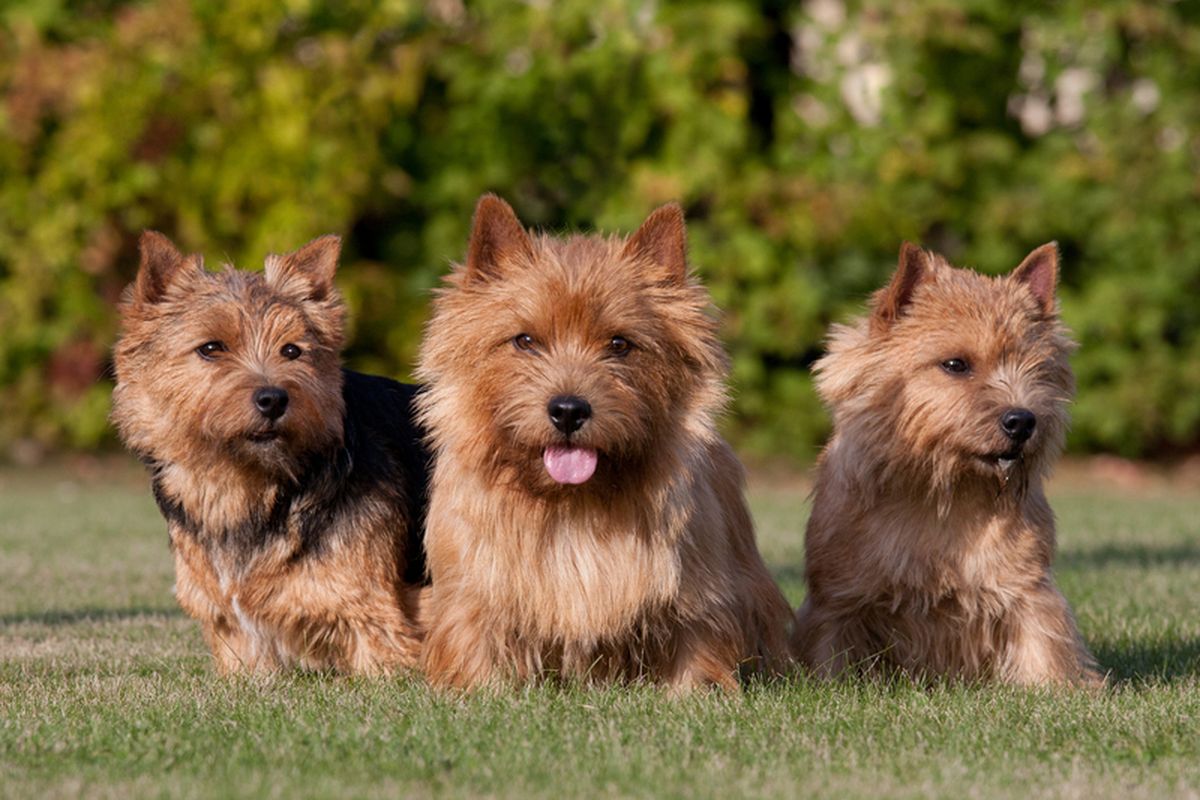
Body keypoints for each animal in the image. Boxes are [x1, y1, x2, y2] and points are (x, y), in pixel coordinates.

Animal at [113, 231, 432, 676]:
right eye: (211, 348)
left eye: (292, 351)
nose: (273, 399)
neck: (245, 487)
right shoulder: (234, 630)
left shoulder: (378, 616)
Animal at [415, 195, 796, 695]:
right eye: (525, 340)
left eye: (620, 344)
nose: (568, 410)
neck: (572, 504)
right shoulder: (469, 595)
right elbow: (474, 644)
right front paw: (481, 689)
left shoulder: (701, 596)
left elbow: (698, 648)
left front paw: (691, 694)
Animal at [792, 241, 1099, 686]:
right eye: (955, 364)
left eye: (1038, 369)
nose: (1023, 421)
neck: (943, 494)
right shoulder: (837, 602)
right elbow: (829, 654)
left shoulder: (1027, 588)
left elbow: (1043, 646)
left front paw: (1056, 690)